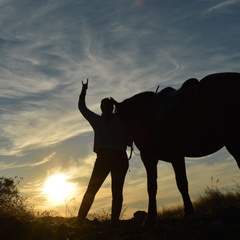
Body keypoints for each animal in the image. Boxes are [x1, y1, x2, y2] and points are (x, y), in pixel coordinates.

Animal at [111, 72, 240, 224]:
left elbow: (155, 186)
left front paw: (151, 217)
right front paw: (188, 212)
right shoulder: (175, 156)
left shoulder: (152, 157)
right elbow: (181, 184)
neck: (143, 113)